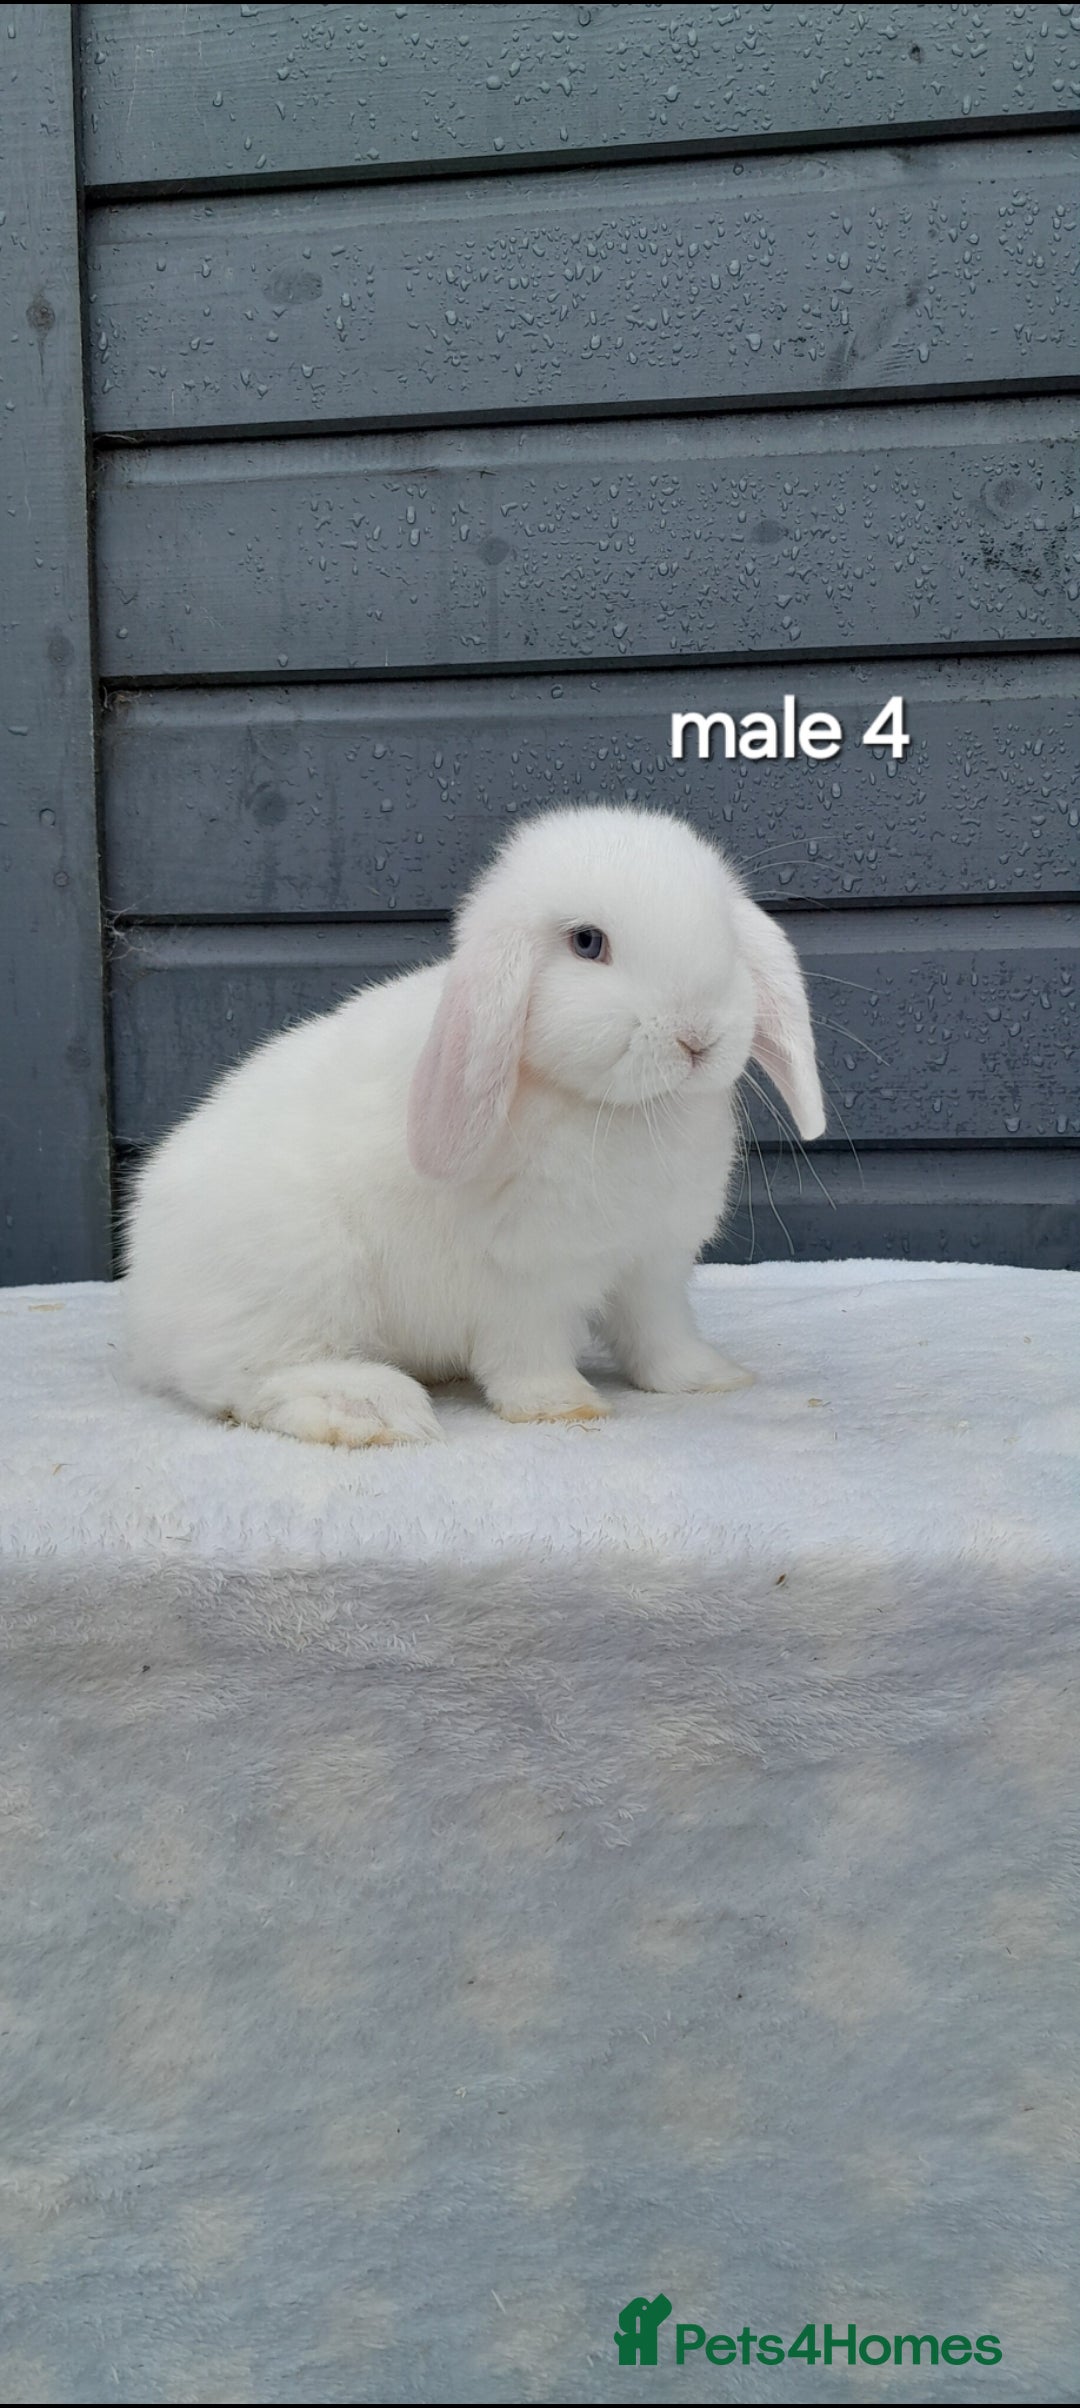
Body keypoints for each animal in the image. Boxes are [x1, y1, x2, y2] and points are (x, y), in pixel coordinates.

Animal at [123, 804, 825, 1446]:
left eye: (726, 936)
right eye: (587, 943)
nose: (697, 1036)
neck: (618, 1110)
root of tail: (148, 1288)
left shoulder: (653, 1265)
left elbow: (662, 1336)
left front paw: (709, 1379)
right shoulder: (524, 1279)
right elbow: (528, 1352)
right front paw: (561, 1407)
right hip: (301, 1275)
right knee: (246, 1377)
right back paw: (371, 1409)